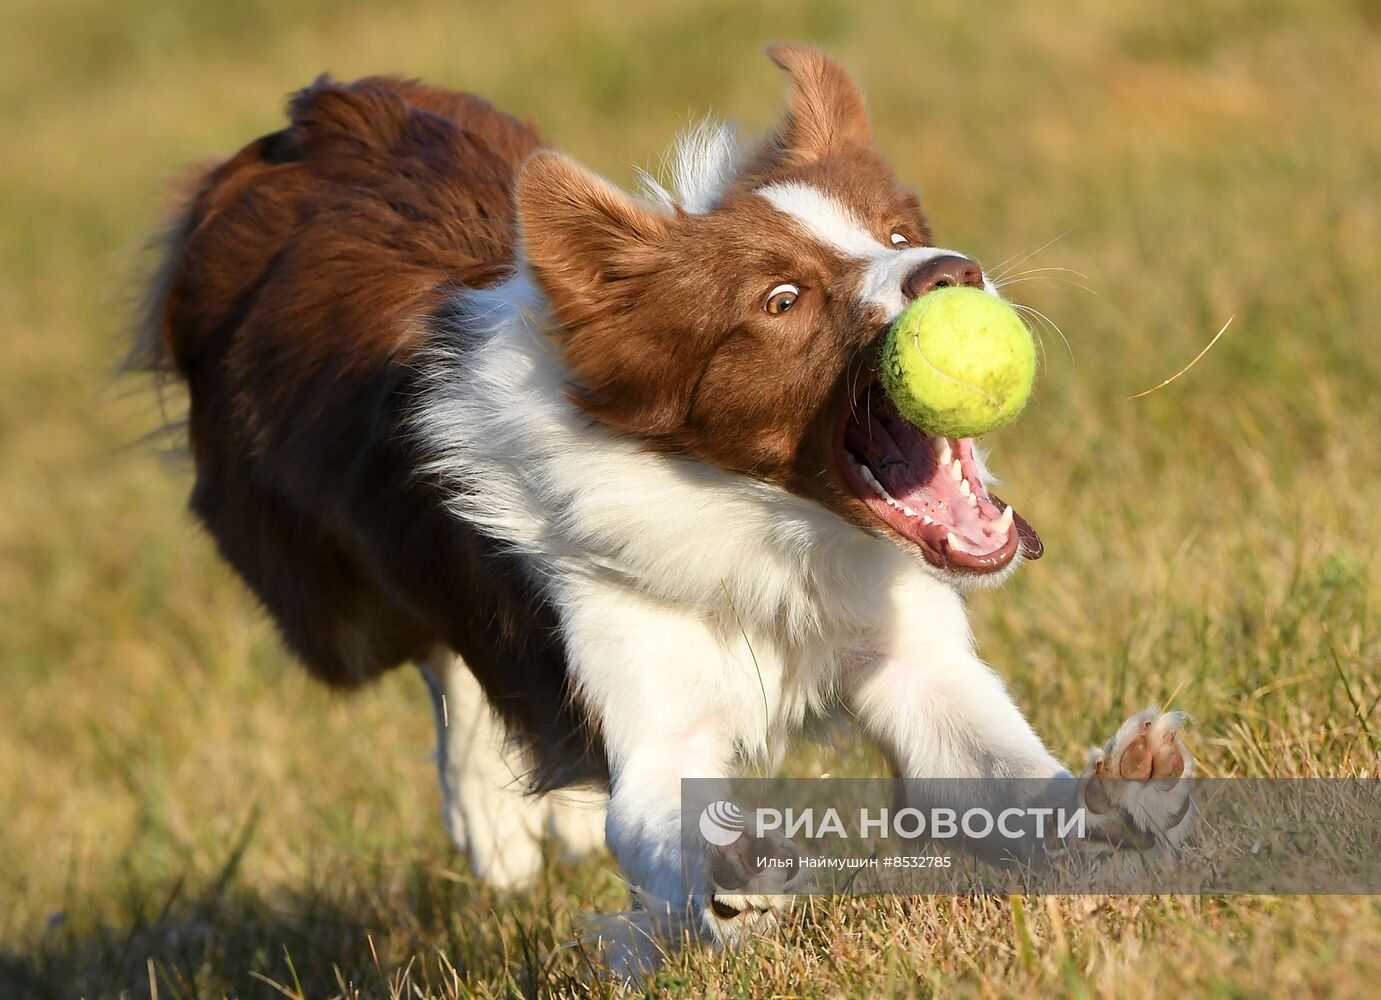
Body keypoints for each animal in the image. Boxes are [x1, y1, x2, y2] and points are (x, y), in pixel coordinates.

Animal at [137, 44, 1198, 955]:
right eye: (782, 300)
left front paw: (1120, 792)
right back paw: (494, 816)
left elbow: (998, 770)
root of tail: (308, 121)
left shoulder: (910, 661)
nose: (950, 275)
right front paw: (733, 874)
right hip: (328, 615)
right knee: (441, 656)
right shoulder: (651, 710)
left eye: (899, 233)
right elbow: (666, 813)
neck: (766, 526)